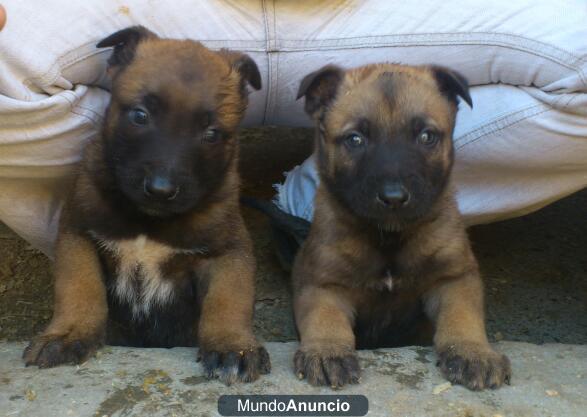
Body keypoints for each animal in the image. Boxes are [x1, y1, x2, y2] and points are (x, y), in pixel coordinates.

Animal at [23, 25, 272, 384]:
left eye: (212, 134)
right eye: (140, 115)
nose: (160, 190)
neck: (148, 220)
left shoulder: (228, 251)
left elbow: (228, 299)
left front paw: (232, 345)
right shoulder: (78, 234)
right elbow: (78, 286)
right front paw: (68, 333)